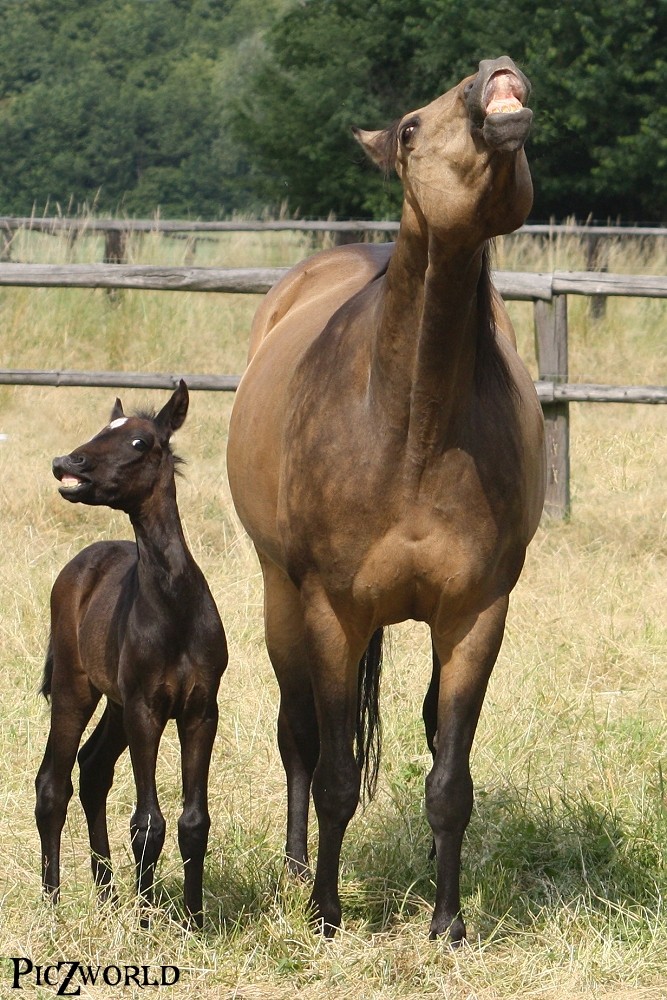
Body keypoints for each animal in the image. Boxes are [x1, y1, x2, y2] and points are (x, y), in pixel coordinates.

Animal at [35, 378, 228, 924]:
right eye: (103, 429)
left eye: (140, 442)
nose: (67, 462)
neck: (175, 608)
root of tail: (79, 565)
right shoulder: (146, 708)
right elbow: (148, 821)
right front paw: (145, 921)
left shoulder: (200, 710)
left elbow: (193, 821)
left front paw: (193, 919)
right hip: (76, 689)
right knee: (53, 784)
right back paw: (54, 902)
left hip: (116, 705)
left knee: (93, 767)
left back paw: (107, 894)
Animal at [227, 56, 544, 944]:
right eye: (407, 128)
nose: (493, 73)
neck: (412, 424)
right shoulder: (333, 612)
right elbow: (334, 772)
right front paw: (326, 913)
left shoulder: (475, 615)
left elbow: (449, 776)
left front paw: (447, 922)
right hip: (279, 599)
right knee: (298, 736)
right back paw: (297, 866)